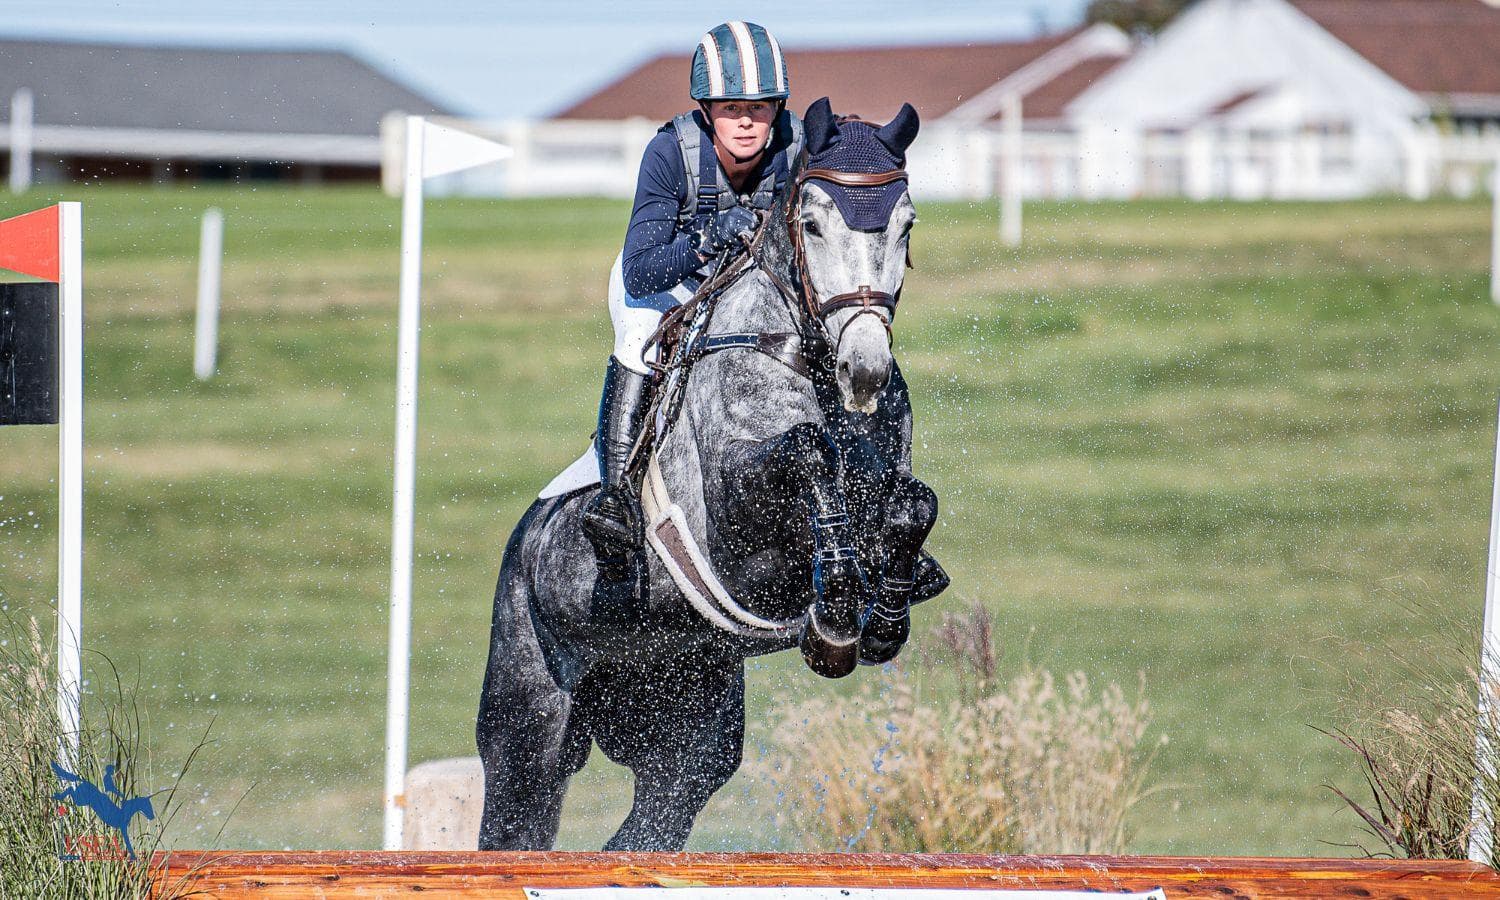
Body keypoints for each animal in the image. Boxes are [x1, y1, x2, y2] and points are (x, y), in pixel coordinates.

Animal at [477, 97, 943, 852]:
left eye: (905, 225)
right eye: (813, 224)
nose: (866, 373)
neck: (803, 354)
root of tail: (524, 541)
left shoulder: (883, 480)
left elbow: (913, 504)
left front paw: (880, 621)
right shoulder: (738, 524)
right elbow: (806, 453)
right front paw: (838, 609)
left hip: (688, 728)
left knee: (646, 828)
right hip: (530, 718)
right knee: (516, 821)